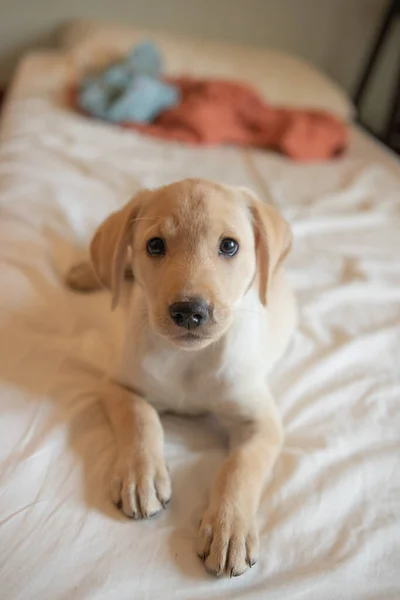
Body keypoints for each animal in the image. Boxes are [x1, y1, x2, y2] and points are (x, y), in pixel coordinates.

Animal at [66, 177, 296, 576]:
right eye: (155, 245)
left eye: (229, 245)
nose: (189, 311)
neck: (188, 361)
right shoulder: (118, 385)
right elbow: (141, 419)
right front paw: (141, 475)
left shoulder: (262, 424)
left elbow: (240, 467)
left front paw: (229, 527)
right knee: (118, 267)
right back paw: (84, 270)